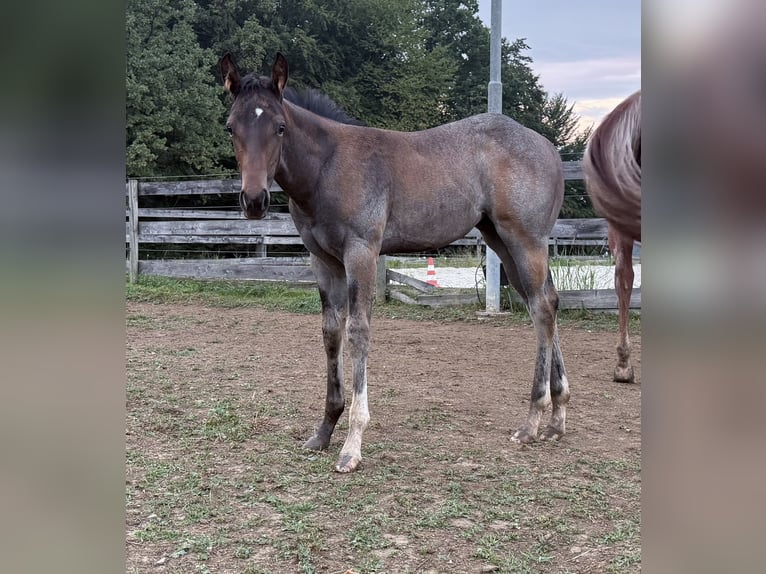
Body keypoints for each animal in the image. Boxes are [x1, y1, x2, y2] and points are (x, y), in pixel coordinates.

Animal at [220, 52, 569, 472]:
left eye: (280, 127)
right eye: (230, 127)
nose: (254, 200)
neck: (327, 168)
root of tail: (549, 148)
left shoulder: (361, 252)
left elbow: (358, 331)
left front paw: (352, 445)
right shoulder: (323, 260)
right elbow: (331, 332)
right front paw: (324, 431)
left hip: (525, 240)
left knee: (542, 308)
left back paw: (532, 420)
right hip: (501, 243)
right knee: (544, 302)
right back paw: (556, 418)